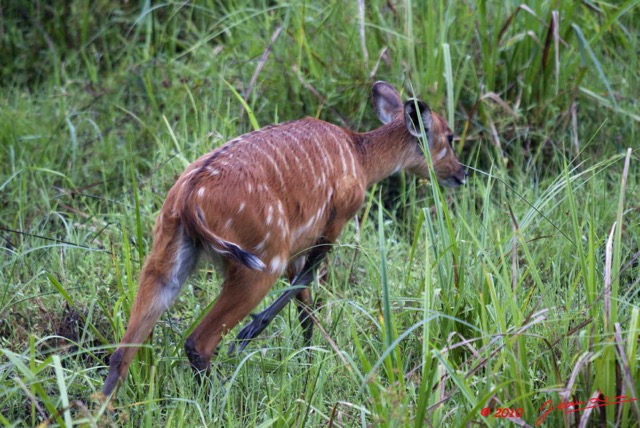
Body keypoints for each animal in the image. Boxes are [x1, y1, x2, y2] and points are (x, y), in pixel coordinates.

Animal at [102, 80, 468, 394]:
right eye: (450, 137)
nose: (462, 174)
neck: (360, 157)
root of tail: (189, 201)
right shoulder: (335, 220)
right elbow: (305, 283)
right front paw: (254, 335)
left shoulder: (298, 247)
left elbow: (304, 302)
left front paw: (308, 360)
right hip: (260, 260)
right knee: (197, 342)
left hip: (165, 258)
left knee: (121, 353)